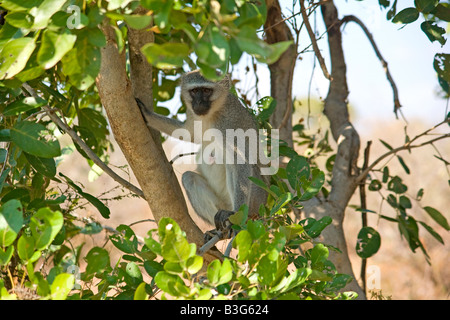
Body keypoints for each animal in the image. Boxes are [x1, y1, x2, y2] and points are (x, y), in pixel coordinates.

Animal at [137, 70, 268, 240]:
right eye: (194, 91)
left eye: (206, 91)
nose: (198, 103)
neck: (212, 114)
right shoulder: (193, 114)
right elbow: (188, 133)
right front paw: (147, 115)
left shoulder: (230, 122)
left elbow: (241, 161)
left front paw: (234, 213)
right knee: (189, 178)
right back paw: (219, 232)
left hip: (256, 199)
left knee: (232, 165)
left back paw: (232, 218)